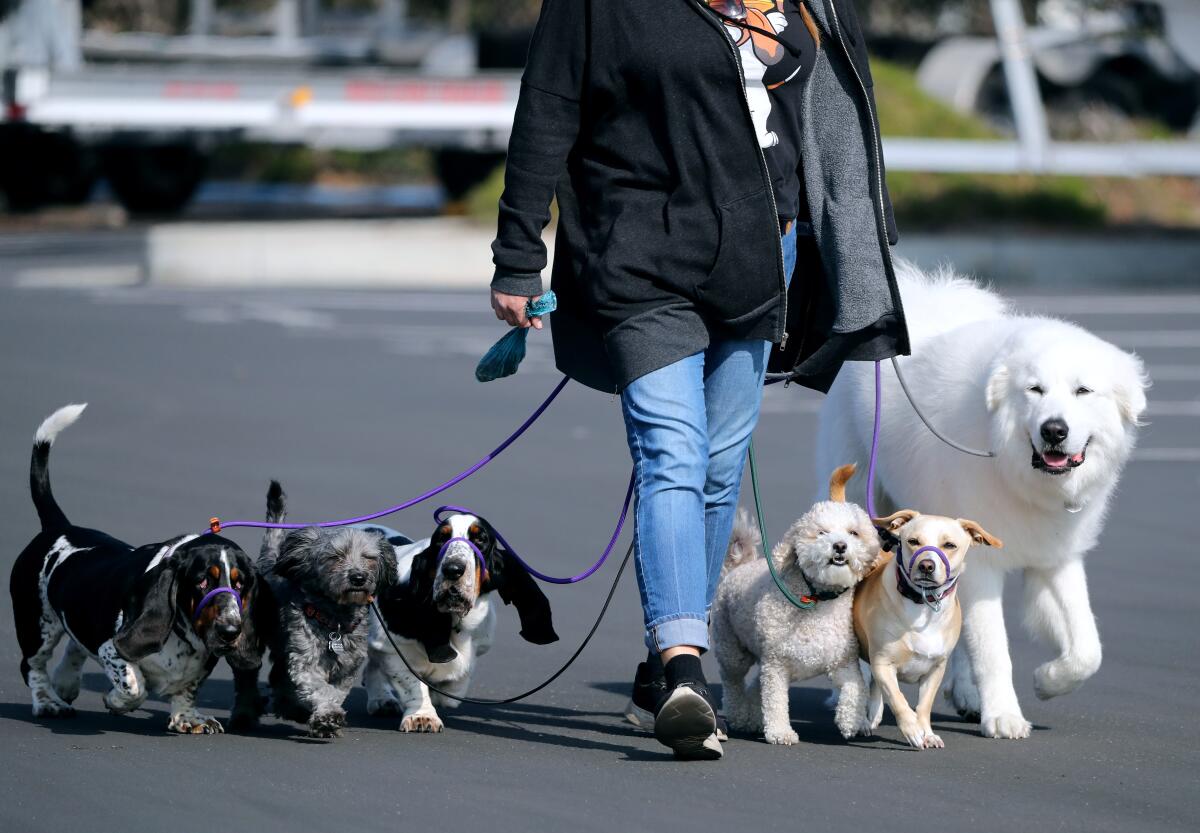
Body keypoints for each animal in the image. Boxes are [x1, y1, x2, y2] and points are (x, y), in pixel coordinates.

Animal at [256, 487, 398, 739]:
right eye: (335, 556)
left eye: (368, 557)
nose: (358, 577)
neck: (335, 621)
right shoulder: (305, 659)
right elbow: (322, 689)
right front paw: (327, 717)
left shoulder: (348, 667)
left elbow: (337, 692)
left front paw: (324, 716)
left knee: (279, 678)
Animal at [710, 465, 883, 748]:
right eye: (821, 532)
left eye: (853, 533)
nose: (840, 546)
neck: (818, 599)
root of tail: (740, 566)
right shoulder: (776, 666)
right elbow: (776, 701)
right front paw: (781, 732)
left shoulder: (842, 662)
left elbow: (855, 688)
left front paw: (852, 721)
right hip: (731, 648)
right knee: (733, 682)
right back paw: (739, 716)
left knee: (754, 687)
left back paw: (753, 718)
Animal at [854, 508, 1003, 748]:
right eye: (913, 541)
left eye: (950, 545)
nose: (926, 565)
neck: (922, 603)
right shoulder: (883, 663)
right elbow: (898, 699)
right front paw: (913, 730)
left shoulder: (935, 669)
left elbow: (924, 706)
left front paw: (927, 733)